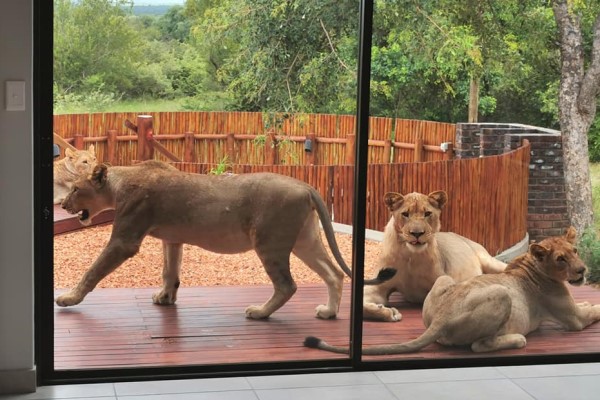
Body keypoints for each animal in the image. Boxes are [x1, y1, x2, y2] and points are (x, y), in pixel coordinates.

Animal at [56, 161, 384, 320]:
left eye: (75, 188)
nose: (64, 204)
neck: (118, 184)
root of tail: (305, 186)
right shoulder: (172, 239)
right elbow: (169, 271)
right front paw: (165, 298)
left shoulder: (125, 240)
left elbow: (92, 271)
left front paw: (69, 298)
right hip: (305, 241)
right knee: (334, 273)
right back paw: (329, 312)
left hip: (269, 242)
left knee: (287, 285)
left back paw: (259, 313)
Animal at [308, 227, 596, 354]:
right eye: (560, 259)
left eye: (575, 251)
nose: (583, 270)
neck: (532, 266)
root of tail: (441, 318)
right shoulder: (573, 319)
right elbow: (593, 311)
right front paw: (593, 304)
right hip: (501, 295)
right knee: (479, 345)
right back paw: (516, 339)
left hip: (444, 279)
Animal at [360, 191, 506, 322]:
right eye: (405, 214)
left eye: (427, 214)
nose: (417, 233)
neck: (411, 257)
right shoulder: (379, 286)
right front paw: (388, 312)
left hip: (490, 261)